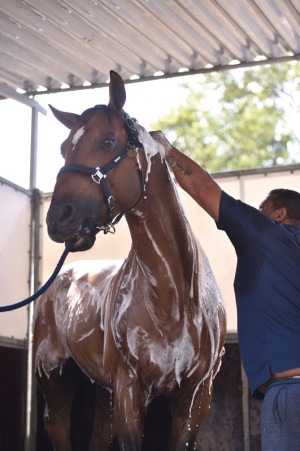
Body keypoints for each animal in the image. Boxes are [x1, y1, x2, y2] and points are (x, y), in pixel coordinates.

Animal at [32, 70, 225, 451]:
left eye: (108, 141)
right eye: (63, 149)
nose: (58, 219)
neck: (174, 295)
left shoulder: (195, 399)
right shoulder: (128, 392)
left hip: (102, 395)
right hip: (56, 381)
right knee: (57, 425)